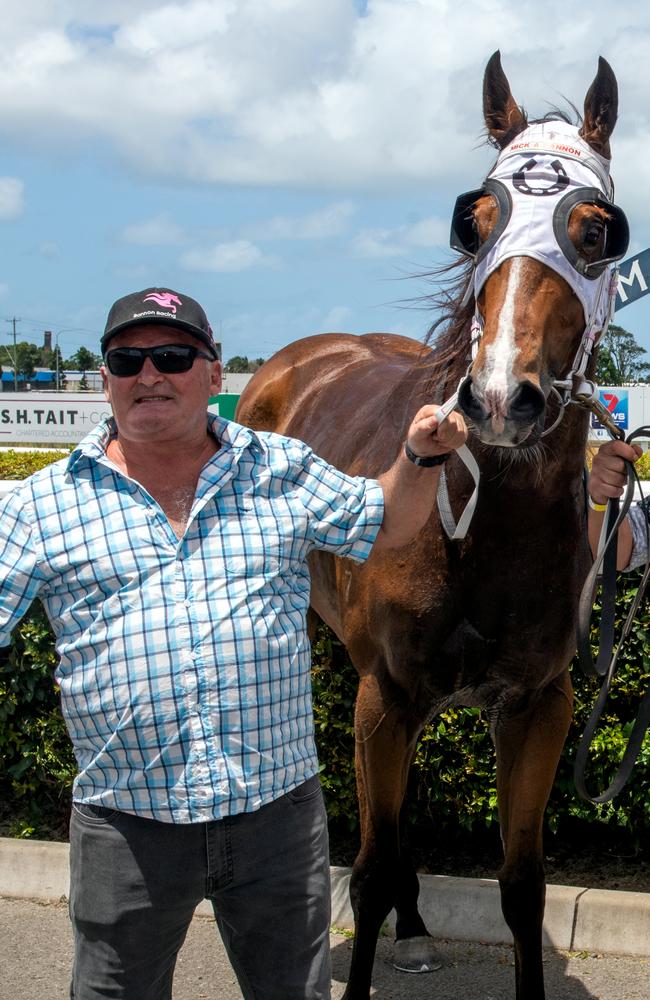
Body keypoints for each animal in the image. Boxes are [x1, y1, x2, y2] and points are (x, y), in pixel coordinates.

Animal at [235, 52, 624, 1000]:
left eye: (596, 231)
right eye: (474, 224)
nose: (501, 397)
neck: (484, 533)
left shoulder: (538, 705)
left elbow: (522, 884)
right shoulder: (387, 694)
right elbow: (371, 870)